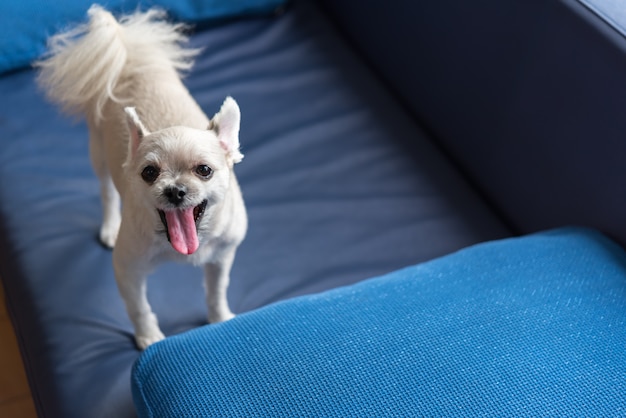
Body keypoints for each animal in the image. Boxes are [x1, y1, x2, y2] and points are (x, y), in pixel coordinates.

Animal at [36, 5, 246, 350]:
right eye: (149, 173)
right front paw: (148, 338)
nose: (175, 190)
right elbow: (139, 308)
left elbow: (216, 291)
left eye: (204, 170)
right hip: (99, 154)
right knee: (107, 192)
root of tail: (127, 52)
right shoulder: (127, 270)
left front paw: (220, 318)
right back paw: (109, 226)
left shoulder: (221, 259)